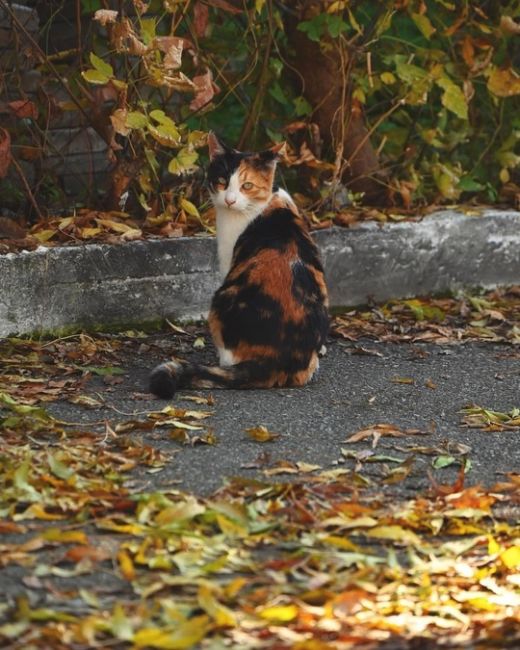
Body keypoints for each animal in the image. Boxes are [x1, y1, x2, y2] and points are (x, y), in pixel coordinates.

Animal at [149, 134, 330, 398]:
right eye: (223, 181)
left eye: (247, 186)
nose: (230, 200)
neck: (261, 204)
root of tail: (278, 360)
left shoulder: (228, 259)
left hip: (221, 298)